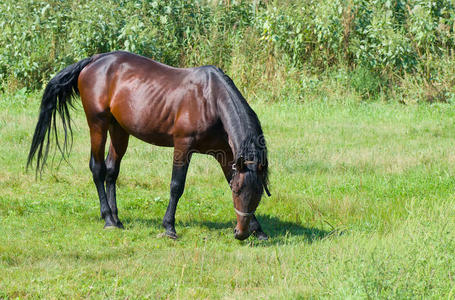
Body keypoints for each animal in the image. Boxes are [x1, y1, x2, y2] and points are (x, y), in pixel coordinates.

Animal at [26, 50, 270, 240]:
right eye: (237, 192)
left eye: (259, 192)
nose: (240, 233)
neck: (210, 99)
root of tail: (94, 60)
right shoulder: (183, 146)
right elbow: (176, 186)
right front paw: (169, 227)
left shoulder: (225, 153)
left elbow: (230, 176)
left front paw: (258, 230)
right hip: (97, 125)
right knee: (97, 168)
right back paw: (108, 219)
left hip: (119, 129)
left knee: (111, 171)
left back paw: (117, 218)